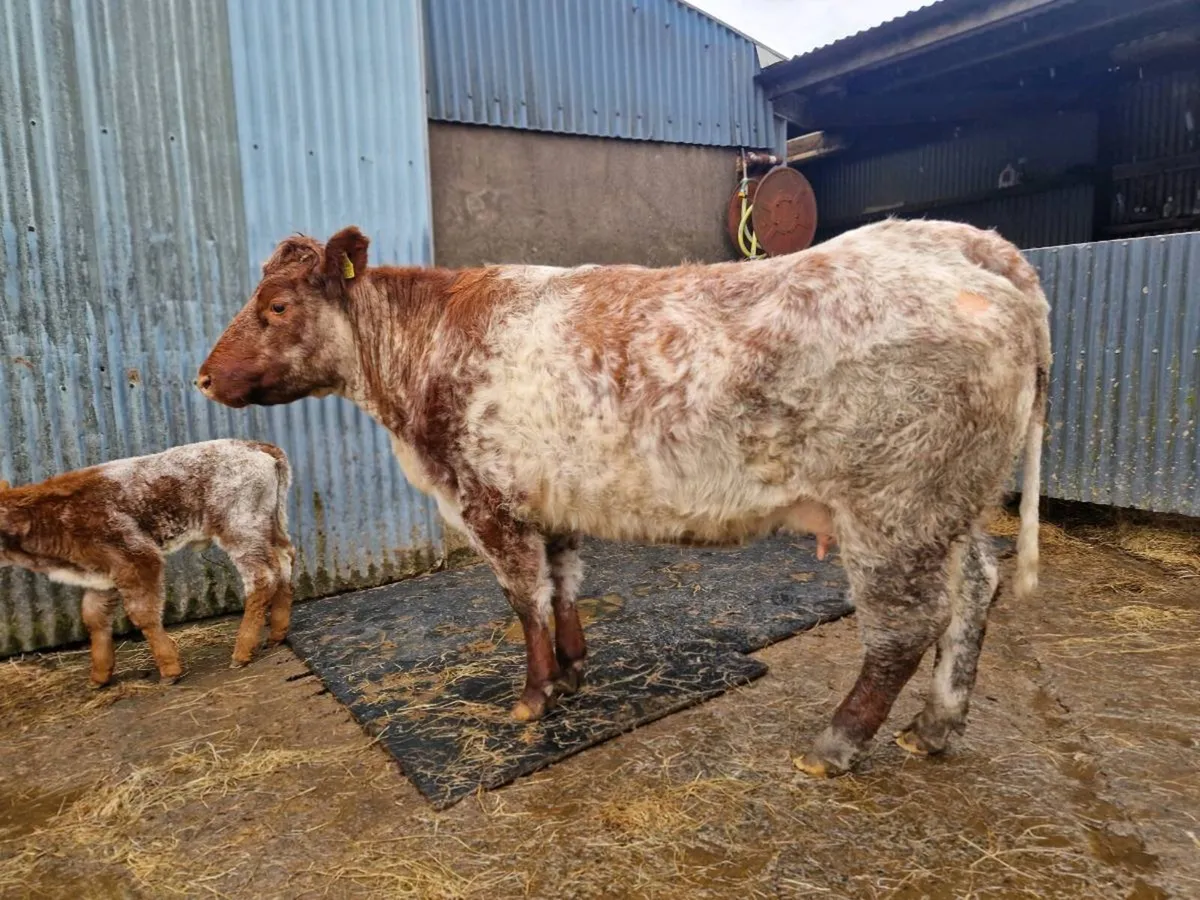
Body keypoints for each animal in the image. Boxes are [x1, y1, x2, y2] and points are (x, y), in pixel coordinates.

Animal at [0, 440, 295, 687]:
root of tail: (256, 446)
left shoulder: (138, 557)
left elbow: (143, 614)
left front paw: (169, 669)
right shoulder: (101, 574)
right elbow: (94, 618)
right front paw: (99, 676)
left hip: (240, 528)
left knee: (262, 576)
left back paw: (242, 651)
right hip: (270, 523)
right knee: (285, 560)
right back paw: (277, 633)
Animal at [197, 217, 1050, 777]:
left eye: (277, 307)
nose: (203, 376)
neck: (426, 356)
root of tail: (972, 244)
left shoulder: (487, 501)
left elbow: (524, 601)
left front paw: (533, 697)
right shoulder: (550, 500)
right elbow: (562, 587)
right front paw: (574, 671)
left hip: (892, 507)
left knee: (906, 626)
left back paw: (838, 743)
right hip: (951, 502)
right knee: (976, 588)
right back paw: (935, 728)